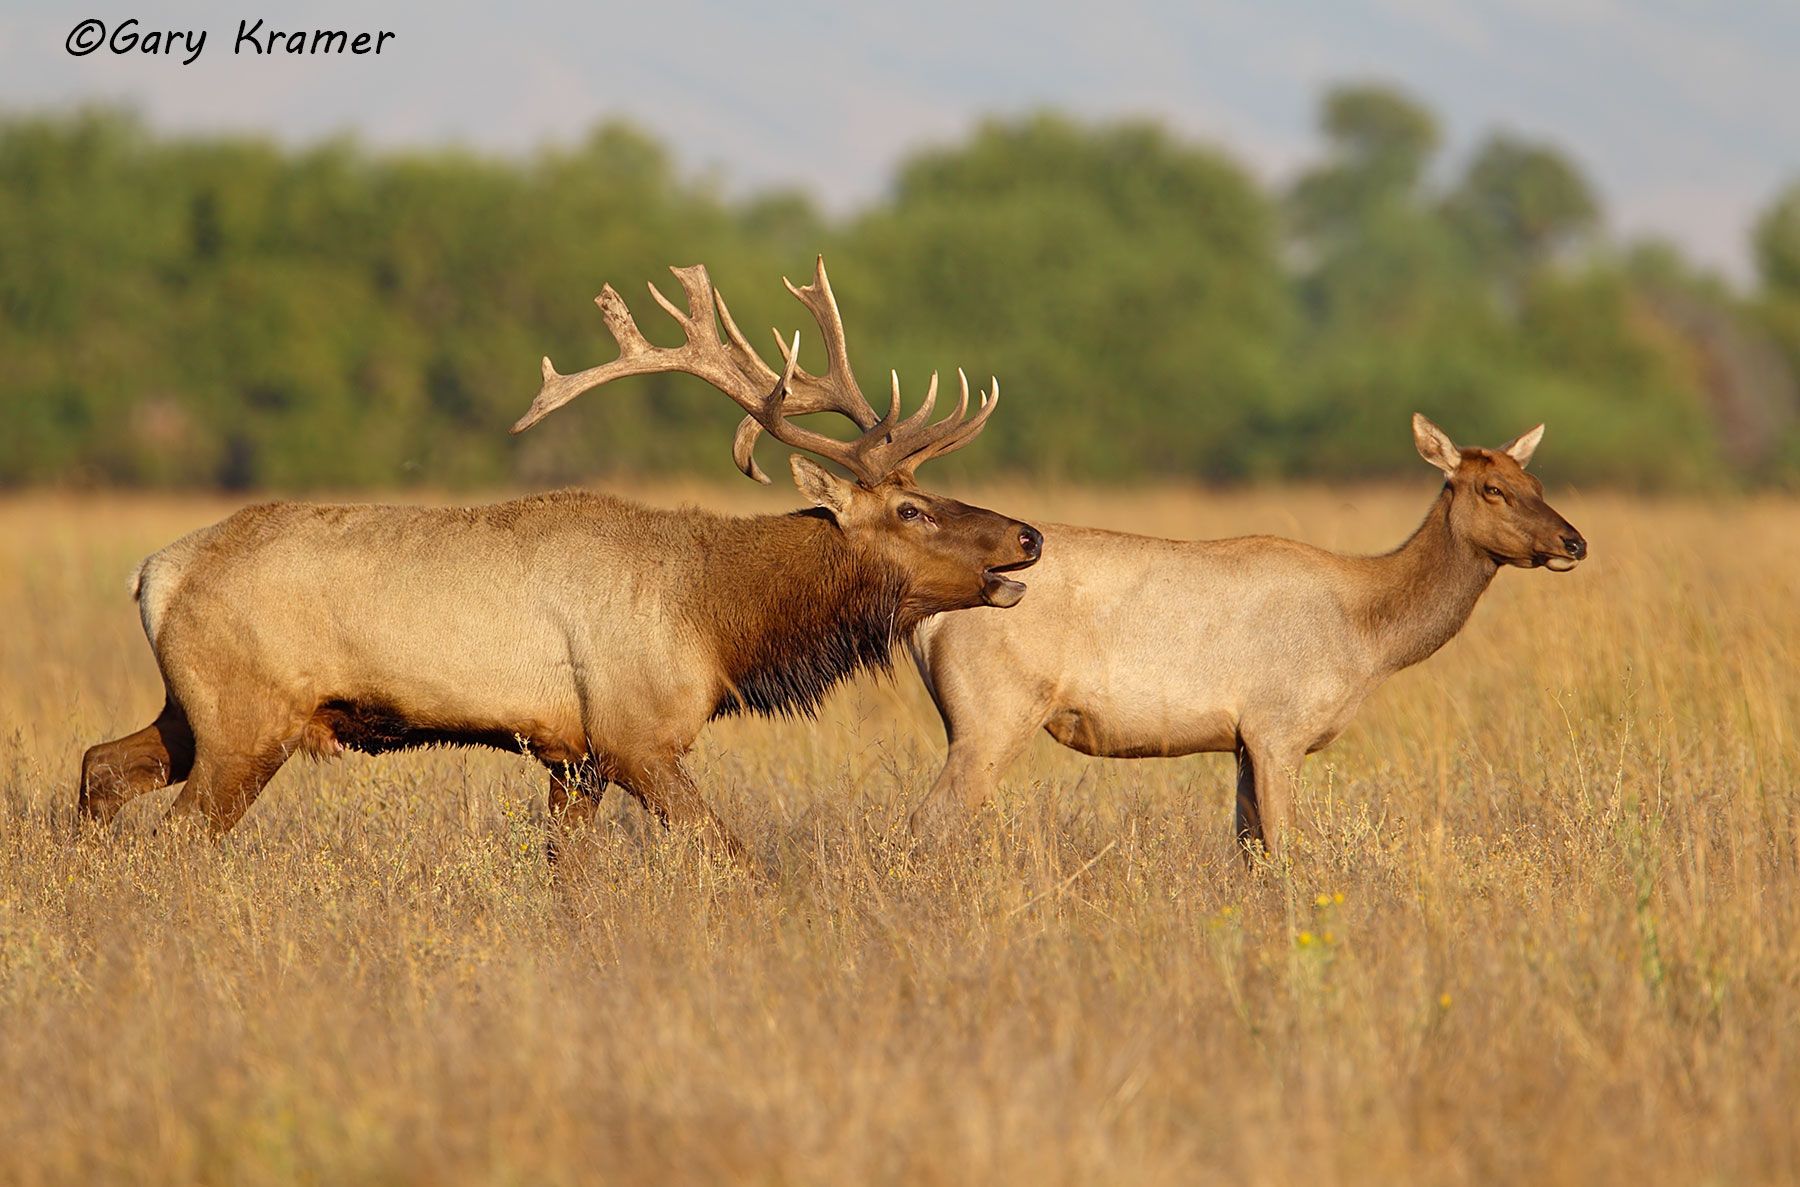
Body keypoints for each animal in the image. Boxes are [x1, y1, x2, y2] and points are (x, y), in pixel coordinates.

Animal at [77, 258, 1043, 864]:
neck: (717, 621)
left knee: (100, 766)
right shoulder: (634, 736)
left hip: (195, 709)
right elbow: (731, 856)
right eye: (911, 508)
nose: (1028, 536)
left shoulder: (572, 756)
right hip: (245, 723)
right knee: (170, 836)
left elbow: (567, 875)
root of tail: (153, 575)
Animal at [905, 414, 1586, 861]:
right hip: (994, 713)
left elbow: (1249, 852)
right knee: (928, 820)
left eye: (1538, 485)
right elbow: (1283, 852)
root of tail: (929, 620)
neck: (1369, 639)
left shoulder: (1241, 741)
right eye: (1492, 488)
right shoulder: (1278, 728)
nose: (1574, 541)